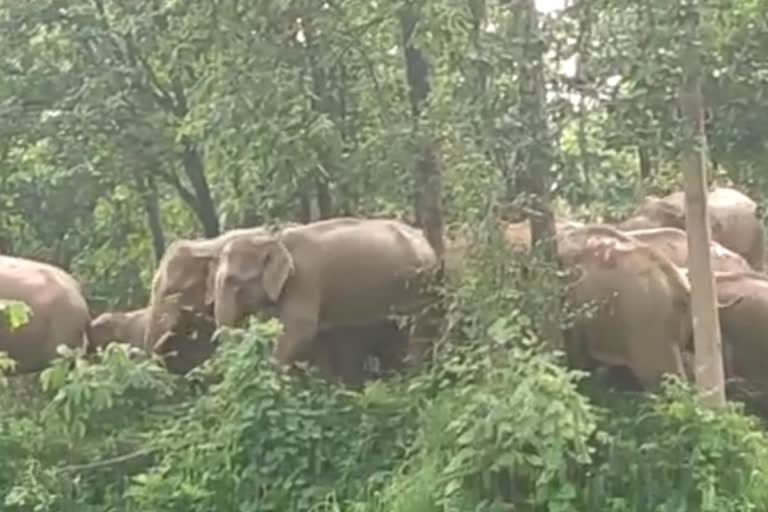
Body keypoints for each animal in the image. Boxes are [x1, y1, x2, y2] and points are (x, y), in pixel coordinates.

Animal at [212, 216, 438, 368]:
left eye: (233, 280)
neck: (274, 238)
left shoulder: (305, 281)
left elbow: (301, 330)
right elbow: (317, 338)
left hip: (421, 283)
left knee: (418, 327)